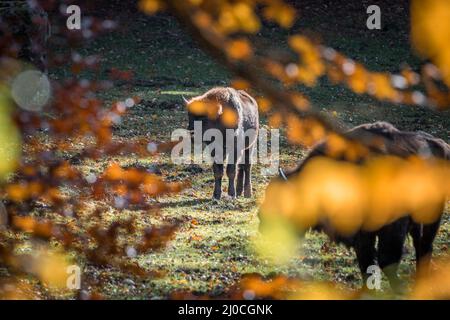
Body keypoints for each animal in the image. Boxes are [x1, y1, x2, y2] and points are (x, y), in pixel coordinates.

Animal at [260, 121, 450, 292]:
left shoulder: (393, 225)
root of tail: (442, 145)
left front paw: (399, 289)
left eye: (281, 200)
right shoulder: (361, 233)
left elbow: (386, 260)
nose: (262, 221)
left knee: (425, 245)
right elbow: (366, 263)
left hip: (432, 213)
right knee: (421, 245)